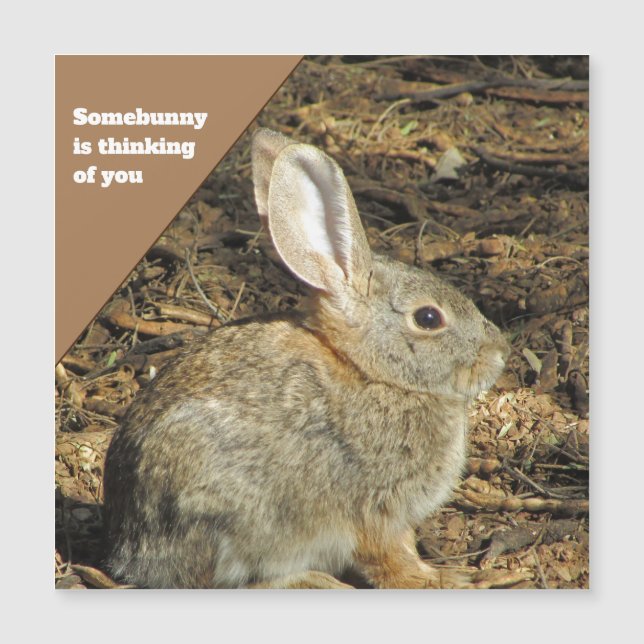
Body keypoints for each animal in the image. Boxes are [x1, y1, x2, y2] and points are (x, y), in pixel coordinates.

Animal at [102, 128, 510, 589]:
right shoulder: (375, 509)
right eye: (428, 318)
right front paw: (436, 579)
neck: (372, 373)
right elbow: (389, 557)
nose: (500, 353)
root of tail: (130, 551)